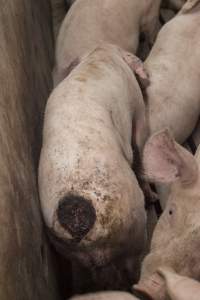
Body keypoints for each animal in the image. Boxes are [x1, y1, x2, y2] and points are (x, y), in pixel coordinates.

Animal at [38, 43, 148, 290]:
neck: (99, 56)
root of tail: (77, 216)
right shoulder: (137, 107)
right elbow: (140, 140)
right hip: (134, 225)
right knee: (134, 263)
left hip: (70, 250)